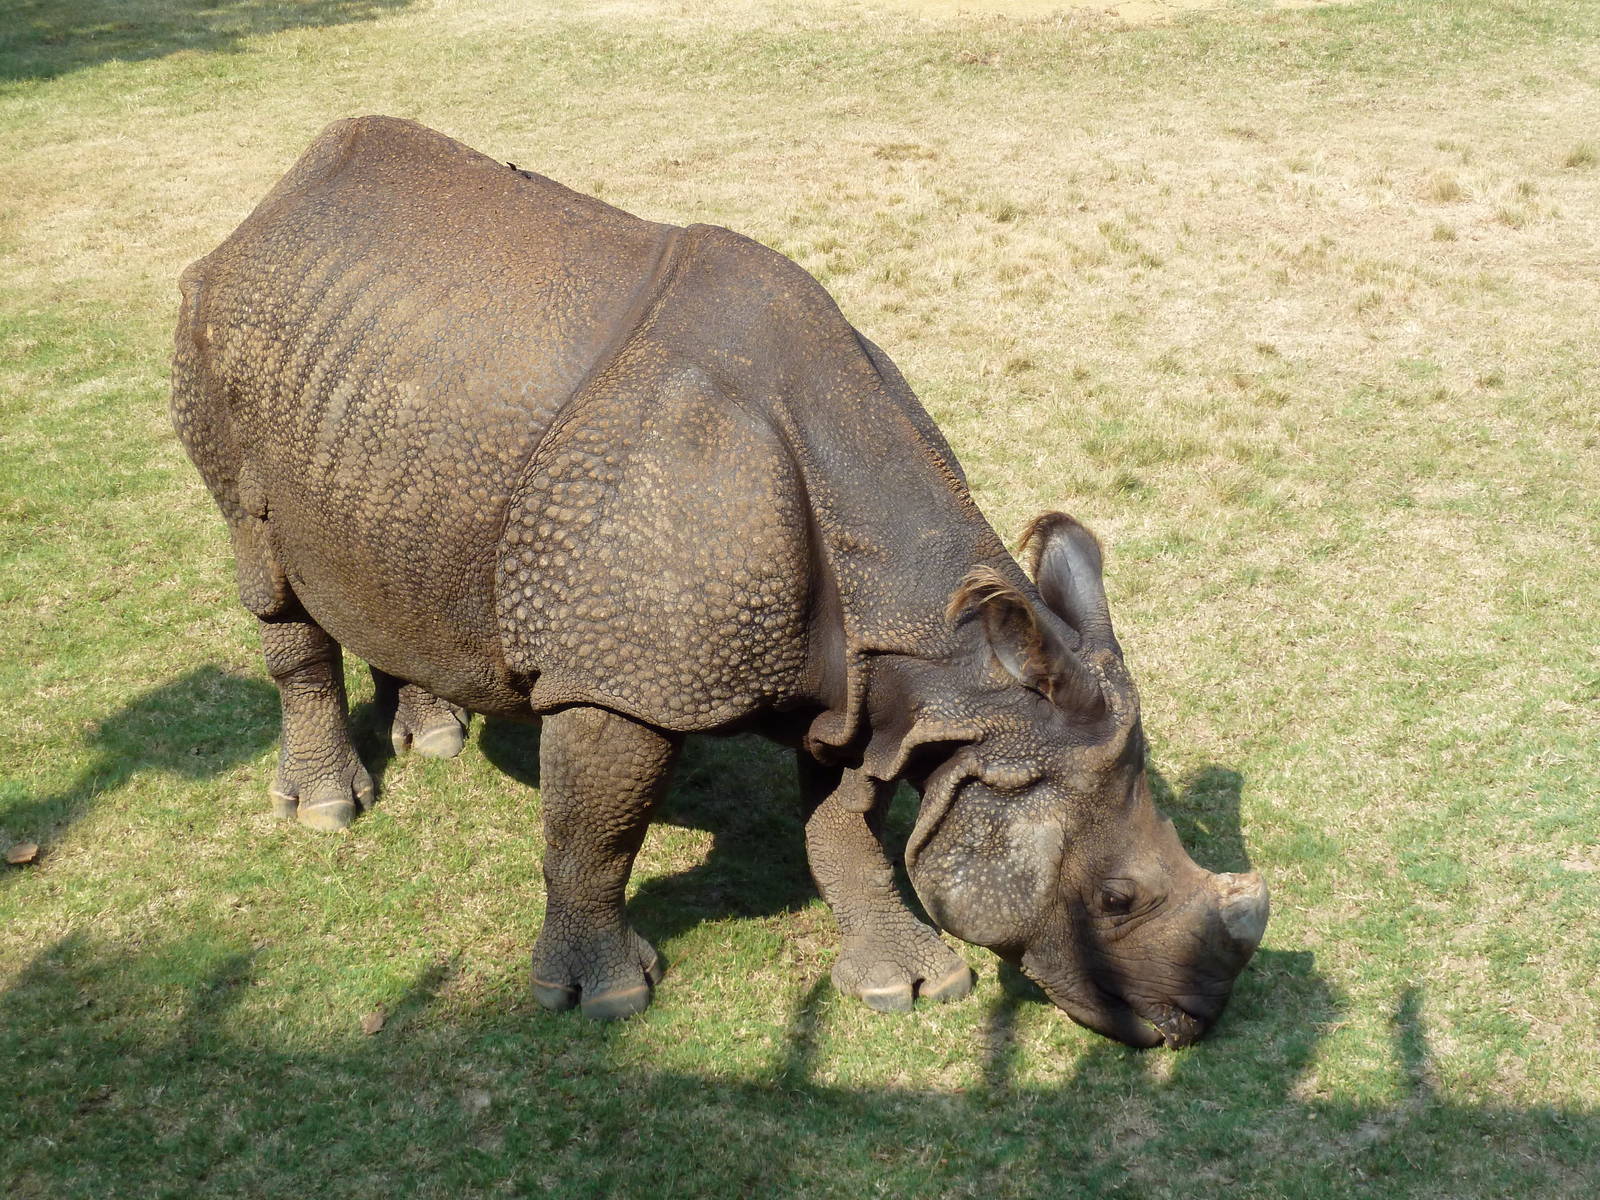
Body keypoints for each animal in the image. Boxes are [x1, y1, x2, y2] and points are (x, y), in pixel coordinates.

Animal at [172, 116, 1268, 1047]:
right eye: (1117, 900)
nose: (1194, 1022)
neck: (951, 666)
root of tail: (275, 199)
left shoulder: (869, 688)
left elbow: (847, 827)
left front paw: (914, 985)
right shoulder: (623, 676)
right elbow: (594, 830)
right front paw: (604, 997)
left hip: (371, 379)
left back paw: (432, 738)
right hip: (218, 331)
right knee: (266, 565)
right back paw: (326, 811)